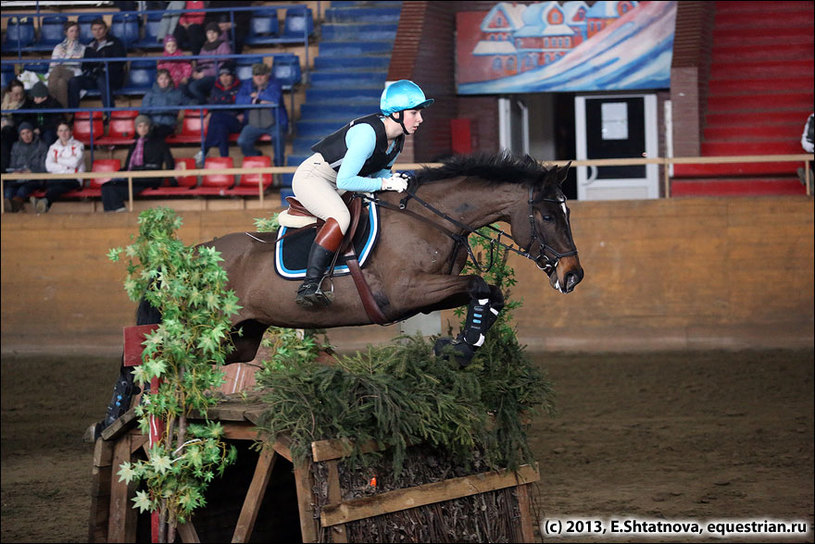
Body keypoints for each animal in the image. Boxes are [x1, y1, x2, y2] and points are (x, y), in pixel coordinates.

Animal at [100, 151, 588, 428]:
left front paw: (459, 346)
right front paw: (462, 348)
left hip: (238, 338)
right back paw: (117, 412)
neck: (434, 219)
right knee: (148, 355)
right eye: (548, 216)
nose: (573, 275)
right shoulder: (405, 291)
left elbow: (487, 293)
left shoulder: (432, 291)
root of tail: (187, 258)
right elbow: (480, 285)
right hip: (201, 330)